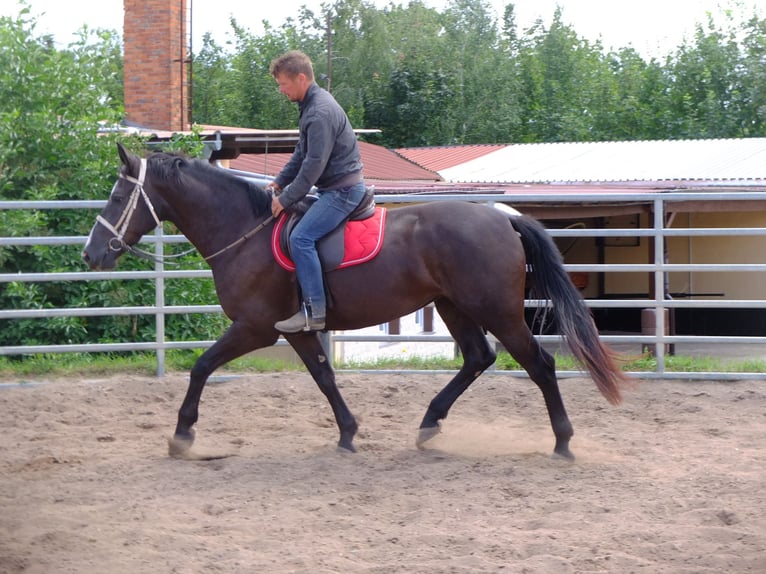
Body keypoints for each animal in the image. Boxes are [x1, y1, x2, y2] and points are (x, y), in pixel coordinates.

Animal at [82, 145, 632, 464]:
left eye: (117, 197)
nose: (91, 254)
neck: (245, 230)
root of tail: (502, 216)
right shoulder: (298, 329)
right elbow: (324, 377)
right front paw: (348, 433)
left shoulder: (256, 327)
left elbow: (200, 367)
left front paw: (182, 435)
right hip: (454, 307)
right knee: (478, 358)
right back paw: (429, 424)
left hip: (497, 311)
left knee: (539, 365)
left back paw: (562, 441)